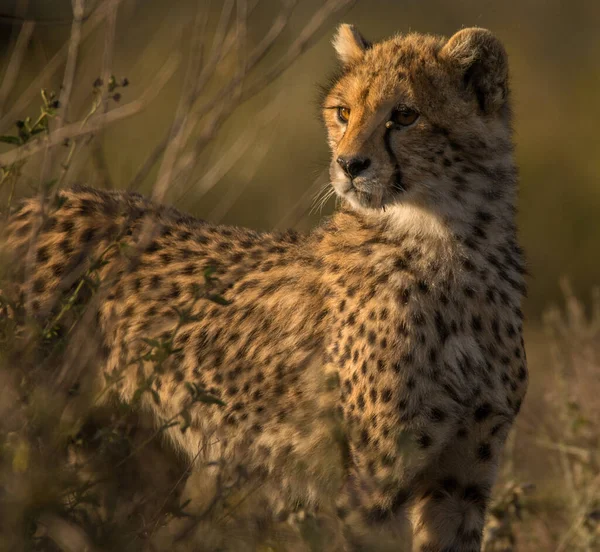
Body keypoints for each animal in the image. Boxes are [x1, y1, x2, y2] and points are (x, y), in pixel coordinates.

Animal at [1, 24, 524, 548]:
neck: (449, 241)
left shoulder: (462, 476)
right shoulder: (367, 486)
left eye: (406, 115)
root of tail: (38, 204)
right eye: (343, 112)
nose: (349, 164)